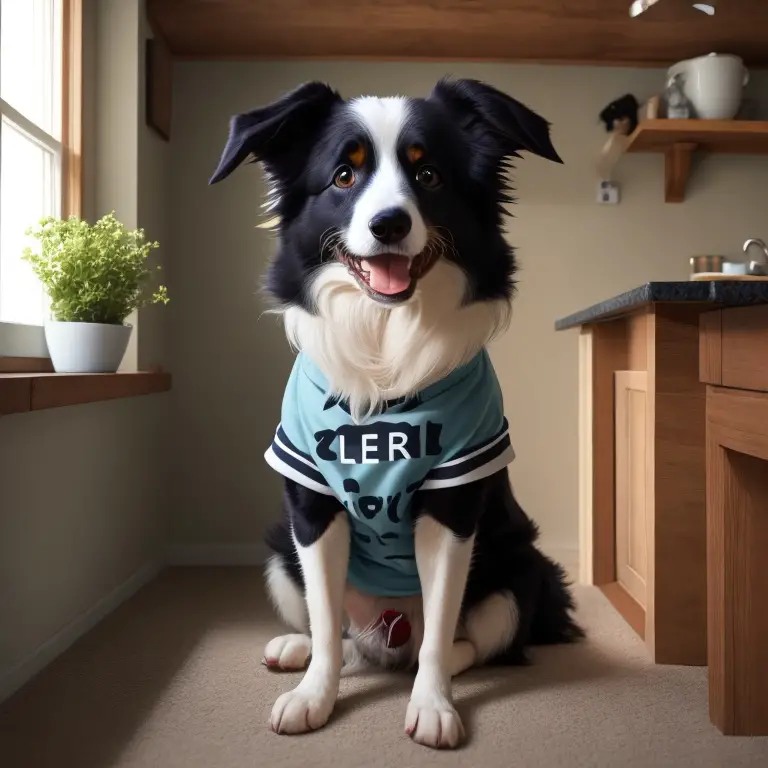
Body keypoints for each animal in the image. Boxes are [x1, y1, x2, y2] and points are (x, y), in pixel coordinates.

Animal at [210, 79, 584, 752]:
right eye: (343, 175)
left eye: (428, 174)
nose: (389, 223)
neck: (385, 342)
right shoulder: (311, 504)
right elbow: (326, 623)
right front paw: (314, 695)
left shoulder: (453, 506)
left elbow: (438, 630)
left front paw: (433, 706)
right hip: (280, 549)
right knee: (341, 634)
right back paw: (298, 648)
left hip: (522, 565)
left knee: (474, 642)